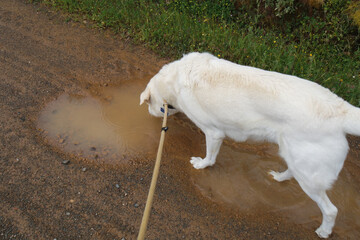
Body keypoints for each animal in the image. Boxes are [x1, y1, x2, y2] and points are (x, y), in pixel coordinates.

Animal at [140, 52, 360, 238]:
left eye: (152, 105)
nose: (151, 114)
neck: (174, 79)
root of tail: (342, 110)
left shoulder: (213, 132)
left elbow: (210, 157)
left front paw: (201, 164)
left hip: (309, 176)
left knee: (331, 210)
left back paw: (324, 231)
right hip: (296, 158)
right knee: (292, 172)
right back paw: (279, 177)